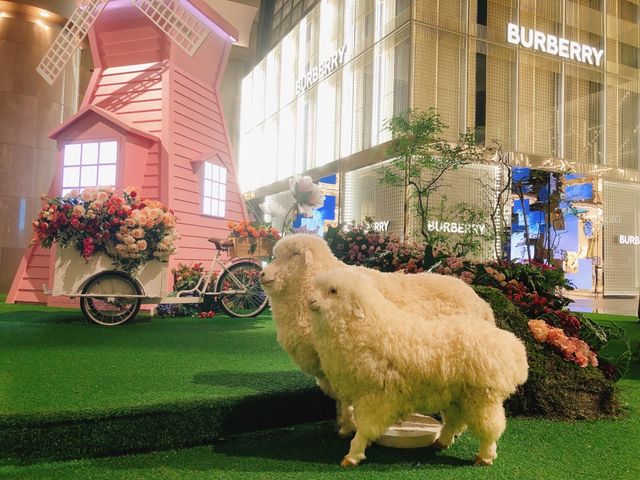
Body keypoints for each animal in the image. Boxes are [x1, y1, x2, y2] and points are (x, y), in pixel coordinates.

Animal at [258, 233, 496, 436]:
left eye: (293, 254)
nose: (261, 274)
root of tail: (483, 305)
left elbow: (345, 397)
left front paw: (348, 427)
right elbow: (339, 398)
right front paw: (342, 424)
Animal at [308, 270, 528, 468]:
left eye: (333, 290)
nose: (310, 300)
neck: (368, 328)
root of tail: (513, 347)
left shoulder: (375, 398)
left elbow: (364, 429)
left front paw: (352, 456)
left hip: (483, 400)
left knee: (490, 430)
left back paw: (485, 457)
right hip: (457, 397)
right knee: (454, 420)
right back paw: (441, 443)